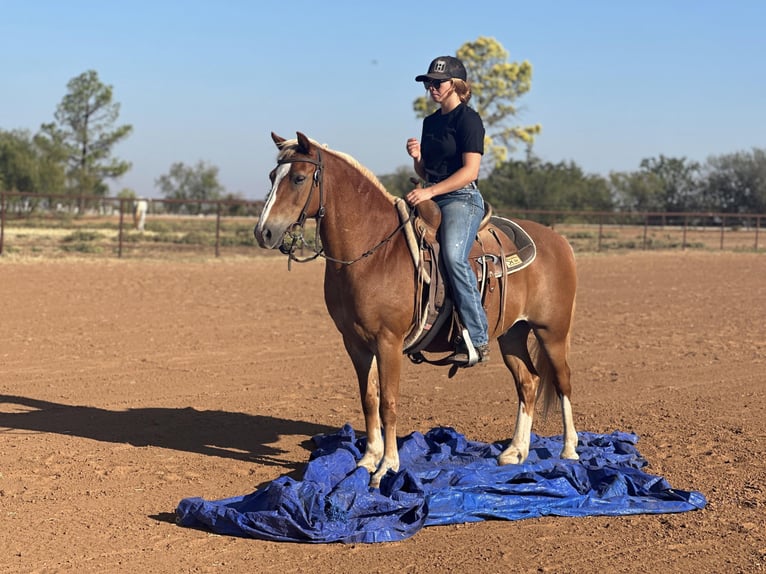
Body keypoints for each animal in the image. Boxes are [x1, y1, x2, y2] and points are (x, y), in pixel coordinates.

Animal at [255, 133, 580, 488]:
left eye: (299, 178)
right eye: (271, 177)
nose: (263, 232)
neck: (374, 253)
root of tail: (560, 242)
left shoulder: (388, 342)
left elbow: (389, 403)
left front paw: (387, 466)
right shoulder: (355, 343)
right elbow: (369, 399)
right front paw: (368, 459)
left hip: (552, 332)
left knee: (562, 381)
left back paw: (569, 451)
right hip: (512, 334)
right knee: (528, 382)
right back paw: (515, 452)